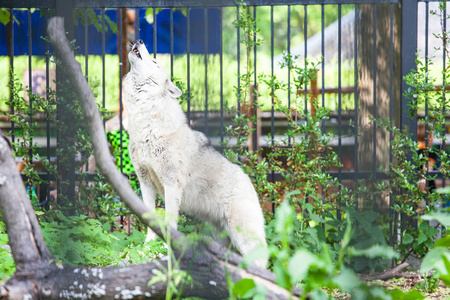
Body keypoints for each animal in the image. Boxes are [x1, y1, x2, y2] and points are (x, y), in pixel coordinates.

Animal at [123, 39, 268, 264]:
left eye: (155, 61)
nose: (139, 40)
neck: (147, 120)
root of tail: (248, 180)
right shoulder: (145, 182)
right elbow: (150, 219)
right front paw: (147, 248)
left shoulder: (171, 184)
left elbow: (170, 221)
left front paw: (166, 248)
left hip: (244, 239)